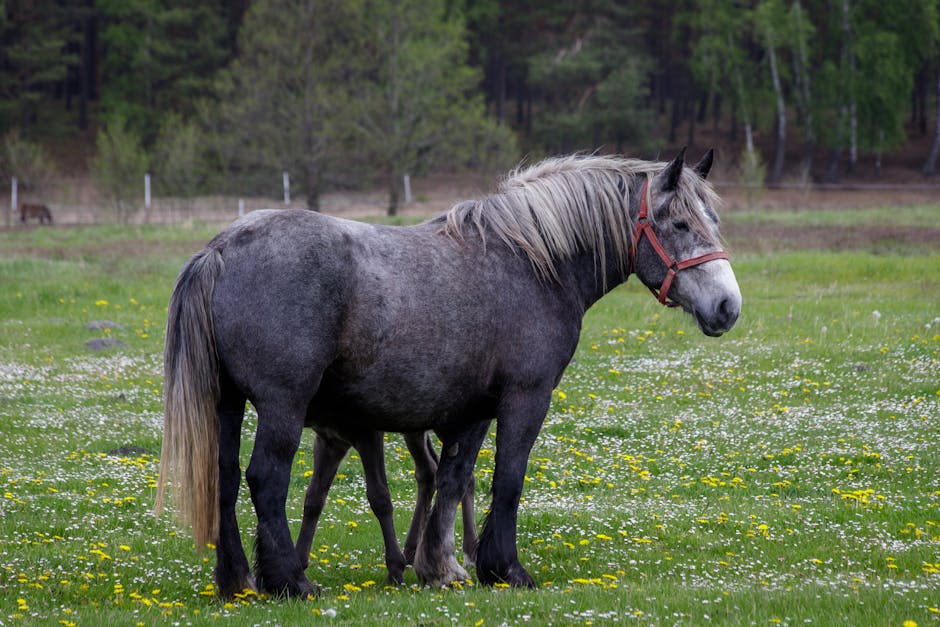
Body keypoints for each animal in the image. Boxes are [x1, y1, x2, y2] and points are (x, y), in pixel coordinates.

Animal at [154, 151, 740, 600]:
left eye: (713, 221)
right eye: (680, 224)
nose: (727, 307)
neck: (531, 262)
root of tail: (220, 249)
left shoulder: (472, 411)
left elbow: (454, 480)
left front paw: (441, 567)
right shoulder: (524, 399)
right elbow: (507, 481)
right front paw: (505, 569)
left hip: (227, 404)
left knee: (226, 480)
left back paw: (237, 580)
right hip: (283, 406)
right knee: (265, 481)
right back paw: (291, 582)